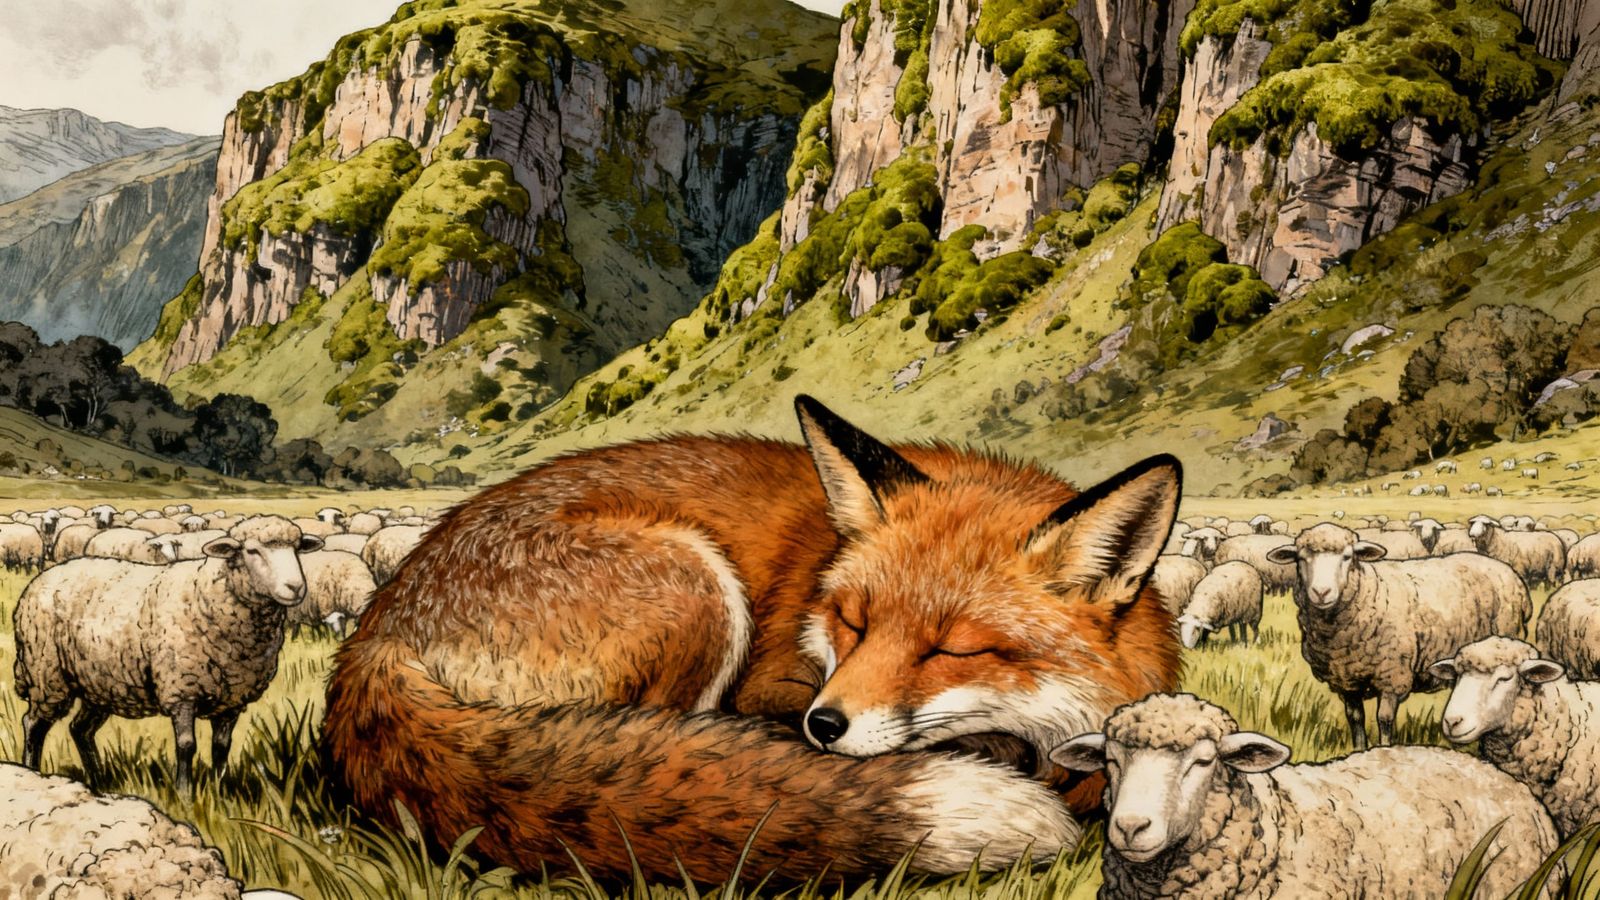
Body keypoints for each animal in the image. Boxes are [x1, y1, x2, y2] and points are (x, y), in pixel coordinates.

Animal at [15, 516, 323, 795]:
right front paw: (185, 796)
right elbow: (186, 746)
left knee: (80, 729)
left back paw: (98, 781)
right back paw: (31, 772)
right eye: (252, 550)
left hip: (100, 683)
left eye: (297, 549)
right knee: (33, 724)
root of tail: (37, 582)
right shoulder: (182, 691)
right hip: (47, 673)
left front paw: (218, 794)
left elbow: (221, 749)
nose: (296, 587)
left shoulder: (231, 701)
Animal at [323, 395, 1183, 883]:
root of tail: (378, 632)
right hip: (697, 590)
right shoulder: (773, 680)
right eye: (853, 622)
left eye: (954, 649)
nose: (824, 726)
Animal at [1266, 524, 1531, 748]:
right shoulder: (1347, 681)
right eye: (1301, 558)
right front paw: (1359, 751)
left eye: (1347, 557)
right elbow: (1355, 719)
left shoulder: (1392, 675)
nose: (1321, 592)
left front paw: (1384, 750)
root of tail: (1512, 574)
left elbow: (1384, 719)